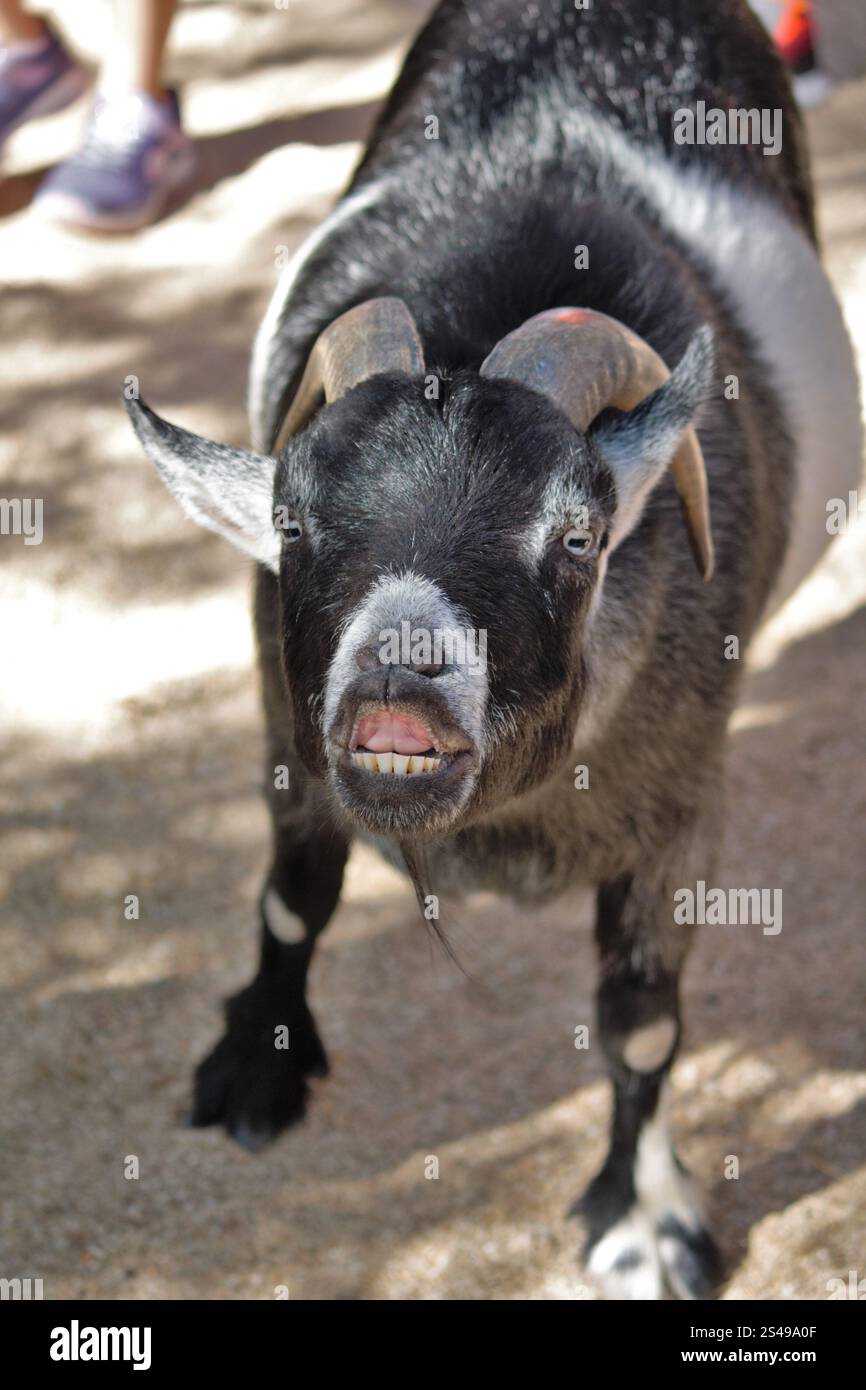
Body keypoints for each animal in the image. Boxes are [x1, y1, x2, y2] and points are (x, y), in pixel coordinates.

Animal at [125, 2, 861, 1301]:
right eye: (290, 520)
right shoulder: (287, 742)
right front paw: (257, 1069)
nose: (397, 689)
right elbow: (291, 899)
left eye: (576, 535)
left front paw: (645, 1223)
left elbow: (641, 1018)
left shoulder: (682, 805)